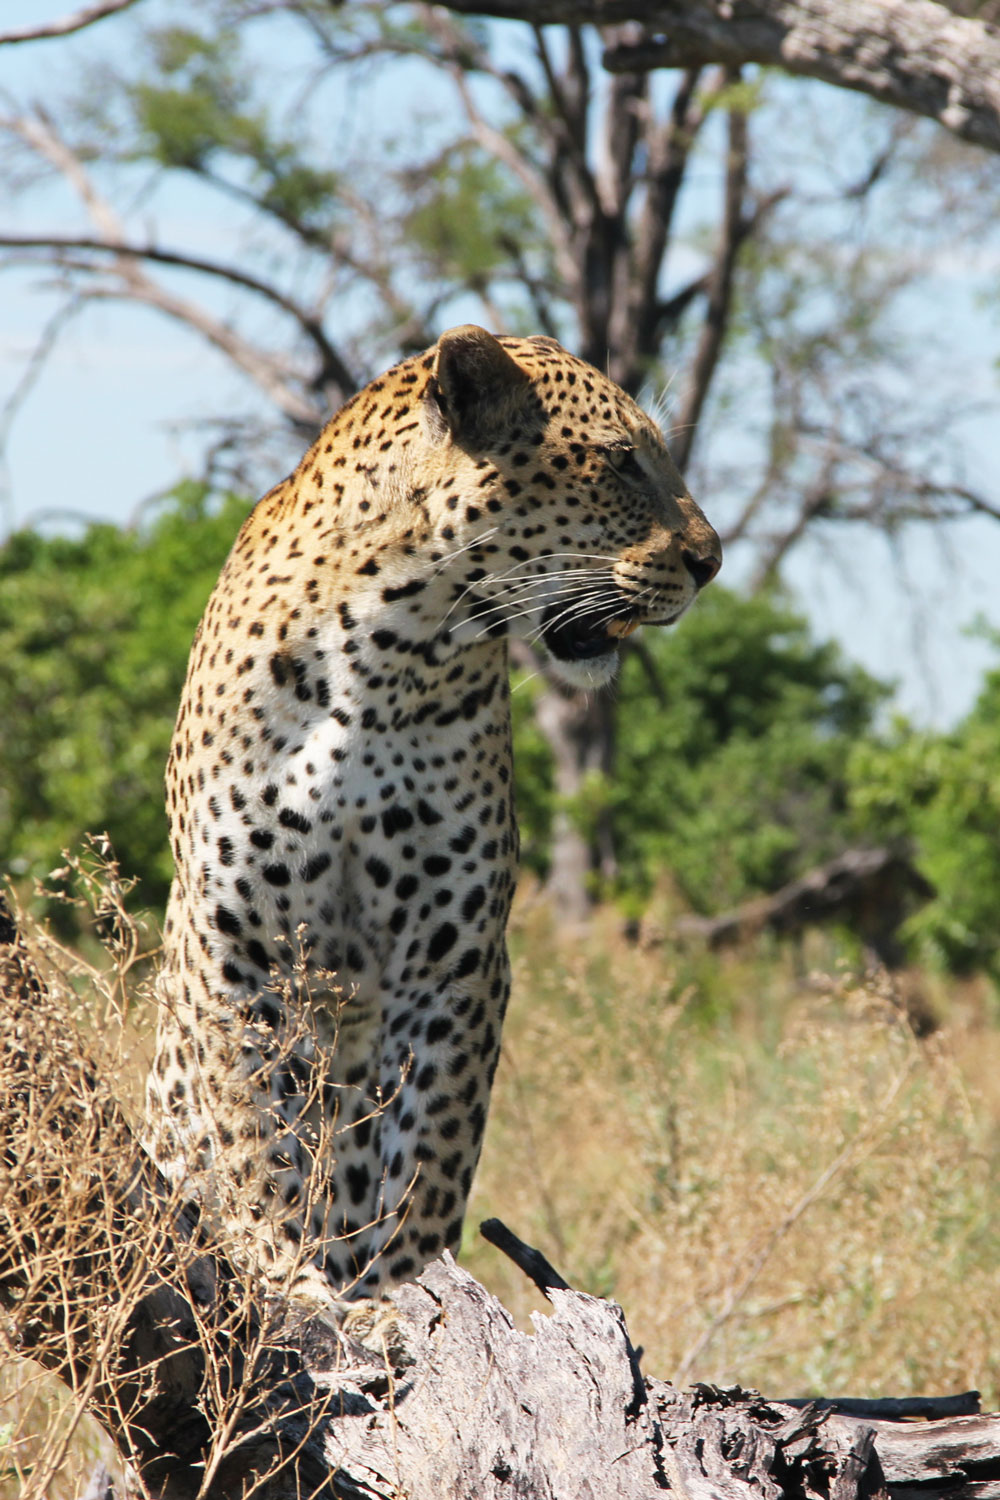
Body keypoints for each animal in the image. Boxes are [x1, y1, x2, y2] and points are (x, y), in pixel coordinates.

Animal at [148, 325, 721, 1306]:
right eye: (620, 461)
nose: (711, 562)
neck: (387, 655)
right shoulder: (242, 951)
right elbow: (258, 1136)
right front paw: (289, 1281)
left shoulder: (453, 960)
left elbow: (425, 1155)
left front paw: (403, 1293)